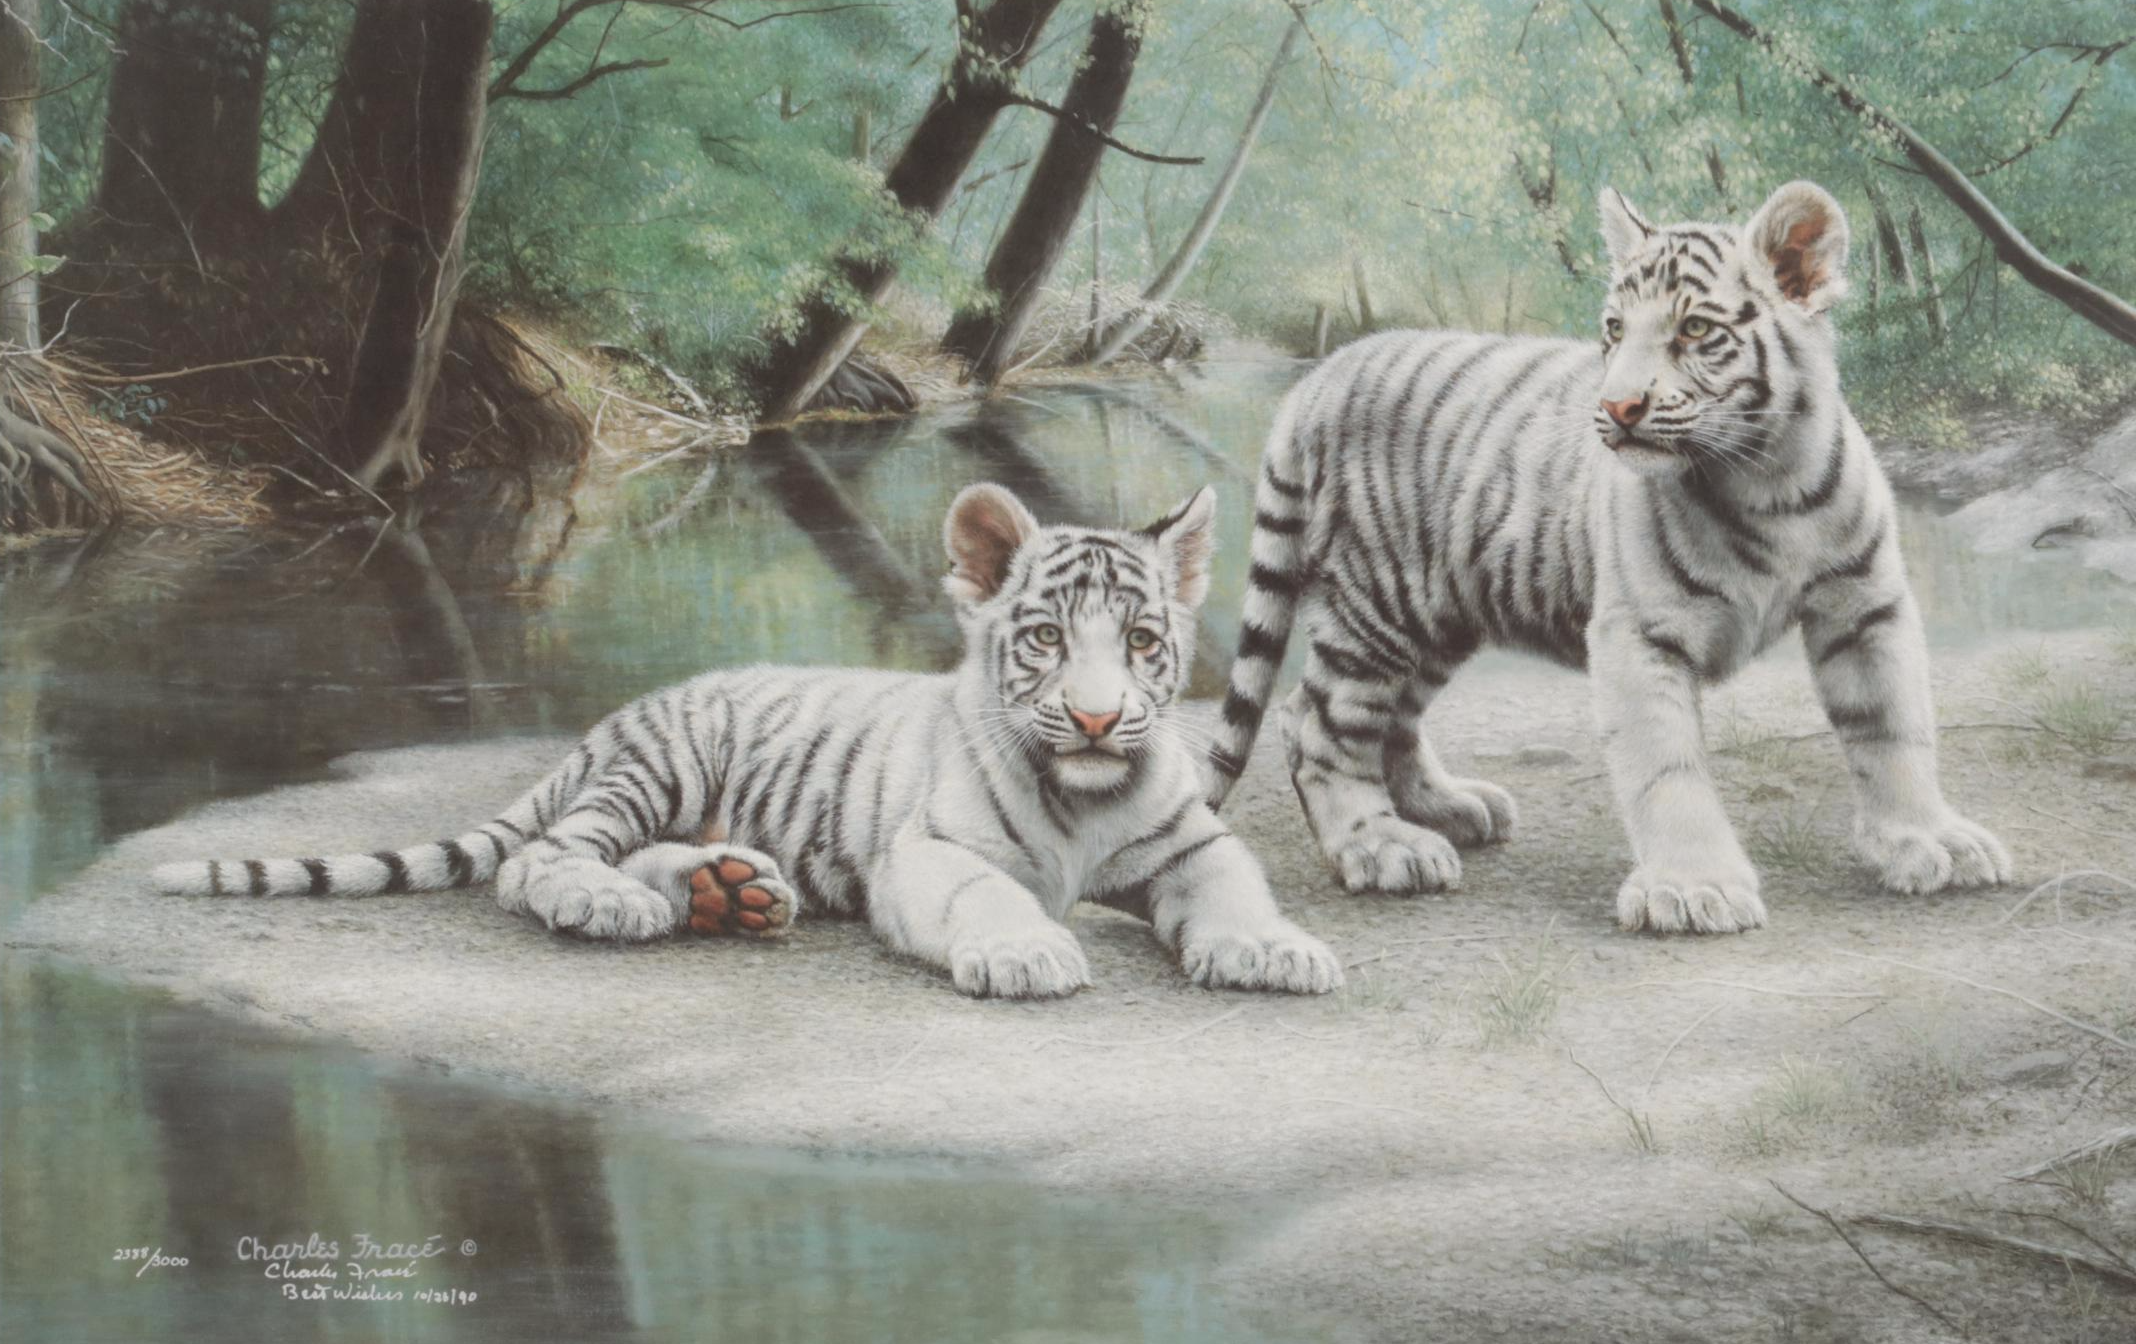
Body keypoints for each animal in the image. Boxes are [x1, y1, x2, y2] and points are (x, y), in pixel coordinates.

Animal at [153, 483, 1344, 999]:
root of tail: (611, 718)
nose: (1097, 718)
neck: (1086, 794)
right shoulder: (928, 855)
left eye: (1142, 641)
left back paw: (728, 893)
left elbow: (1234, 888)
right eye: (1047, 638)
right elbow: (991, 896)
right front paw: (1027, 952)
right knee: (543, 859)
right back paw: (612, 904)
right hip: (661, 765)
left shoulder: (1192, 844)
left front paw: (1274, 949)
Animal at [1207, 180, 2011, 934]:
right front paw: (1693, 888)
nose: (1617, 408)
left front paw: (1931, 840)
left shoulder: (1865, 606)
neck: (1768, 481)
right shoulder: (1640, 629)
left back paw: (1447, 807)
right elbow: (1666, 765)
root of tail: (1321, 375)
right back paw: (1381, 846)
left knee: (1387, 718)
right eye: (1615, 329)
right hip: (1381, 601)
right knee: (1314, 720)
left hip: (1439, 612)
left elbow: (1895, 727)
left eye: (1695, 328)